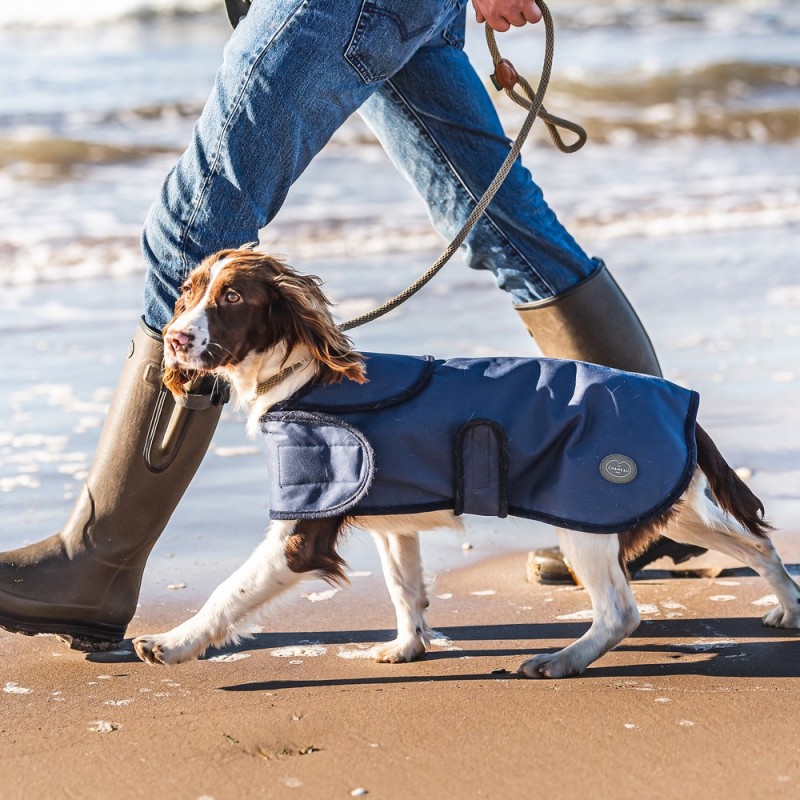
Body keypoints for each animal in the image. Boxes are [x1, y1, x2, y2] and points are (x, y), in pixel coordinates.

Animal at [134, 248, 800, 676]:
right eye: (188, 291)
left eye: (233, 296)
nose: (174, 338)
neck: (303, 378)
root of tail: (680, 401)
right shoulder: (392, 523)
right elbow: (405, 589)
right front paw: (408, 648)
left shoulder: (301, 532)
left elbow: (228, 592)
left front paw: (171, 644)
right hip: (669, 507)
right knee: (758, 546)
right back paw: (788, 609)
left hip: (584, 519)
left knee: (621, 611)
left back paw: (560, 661)